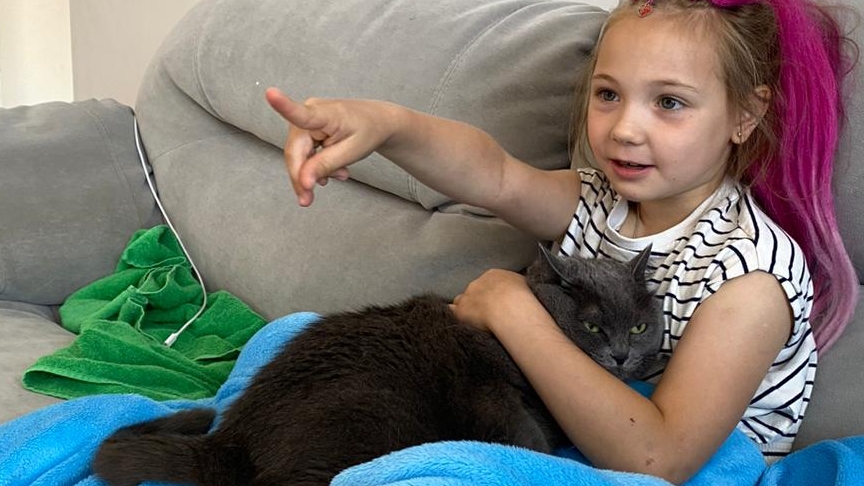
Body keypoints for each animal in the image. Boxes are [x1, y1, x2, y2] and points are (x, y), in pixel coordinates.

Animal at [92, 243, 663, 486]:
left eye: (640, 327)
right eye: (592, 326)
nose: (621, 354)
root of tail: (230, 438)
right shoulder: (486, 392)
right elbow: (525, 441)